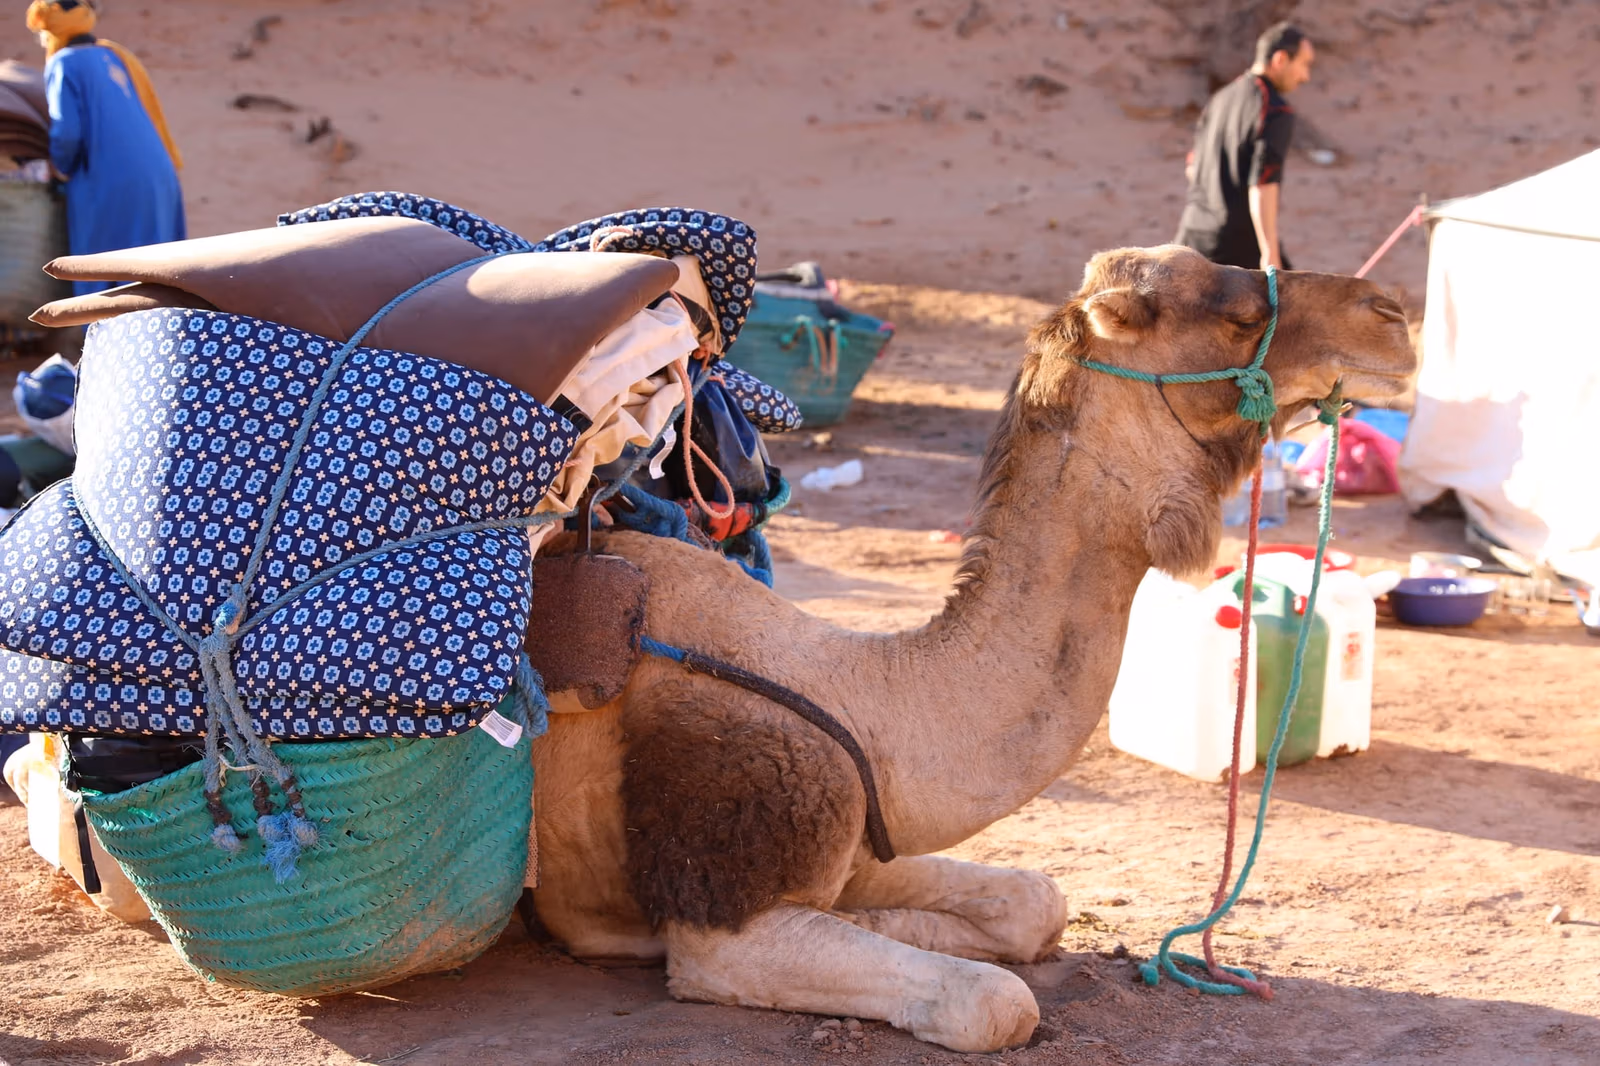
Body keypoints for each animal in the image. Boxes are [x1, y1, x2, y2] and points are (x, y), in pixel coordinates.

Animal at [526, 245, 1416, 1052]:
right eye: (1237, 312)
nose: (1394, 313)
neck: (864, 693)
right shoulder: (721, 919)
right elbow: (996, 1002)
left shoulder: (867, 830)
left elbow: (1033, 904)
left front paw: (894, 921)